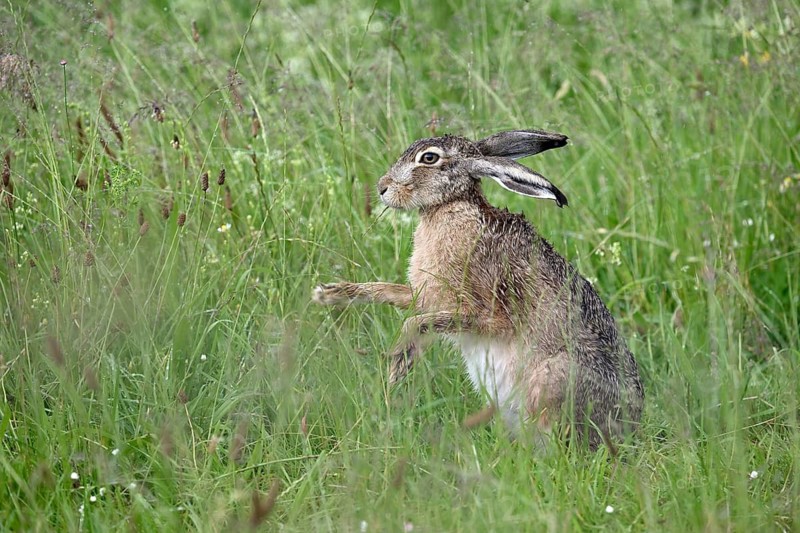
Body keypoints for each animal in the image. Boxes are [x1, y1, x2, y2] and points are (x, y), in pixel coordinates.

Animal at [313, 129, 643, 449]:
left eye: (429, 158)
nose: (382, 187)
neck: (450, 208)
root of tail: (631, 427)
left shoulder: (487, 312)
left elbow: (417, 322)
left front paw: (398, 356)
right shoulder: (426, 296)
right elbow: (387, 291)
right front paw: (329, 294)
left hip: (554, 379)